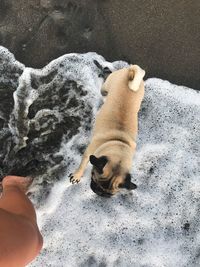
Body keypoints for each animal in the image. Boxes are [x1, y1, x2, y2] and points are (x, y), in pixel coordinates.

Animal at [69, 63, 145, 198]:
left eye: (110, 194)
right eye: (93, 178)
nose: (98, 192)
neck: (119, 143)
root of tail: (130, 75)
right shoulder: (89, 153)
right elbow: (82, 164)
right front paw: (77, 175)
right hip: (107, 85)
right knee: (104, 89)